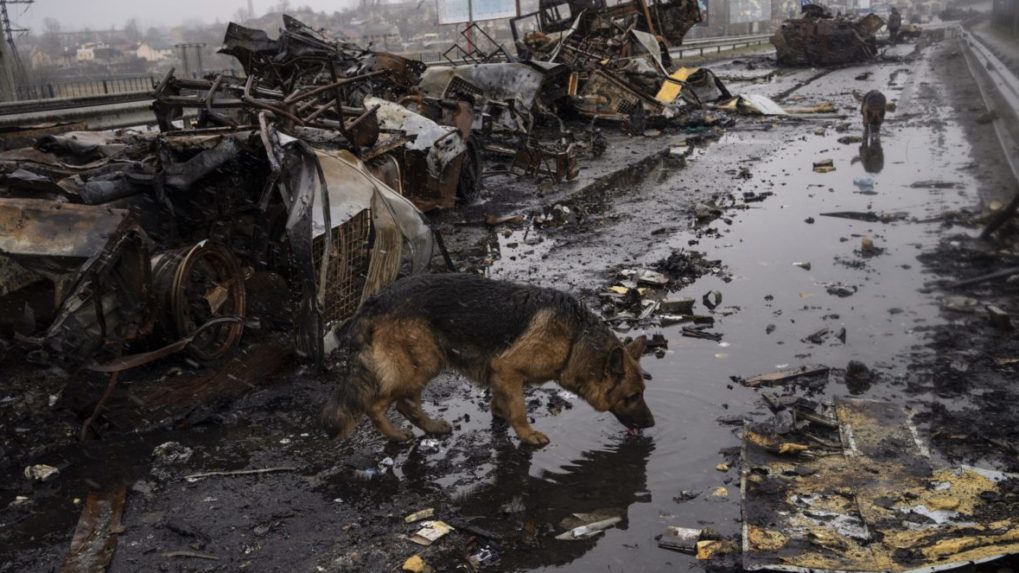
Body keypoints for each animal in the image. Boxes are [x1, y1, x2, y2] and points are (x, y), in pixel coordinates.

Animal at [322, 273, 652, 446]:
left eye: (642, 393)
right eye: (632, 396)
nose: (651, 424)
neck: (576, 337)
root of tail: (373, 301)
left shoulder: (499, 374)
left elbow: (501, 401)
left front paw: (499, 416)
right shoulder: (507, 368)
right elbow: (519, 409)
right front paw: (527, 435)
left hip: (424, 362)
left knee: (404, 403)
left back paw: (430, 428)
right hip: (422, 363)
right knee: (380, 403)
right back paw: (397, 434)